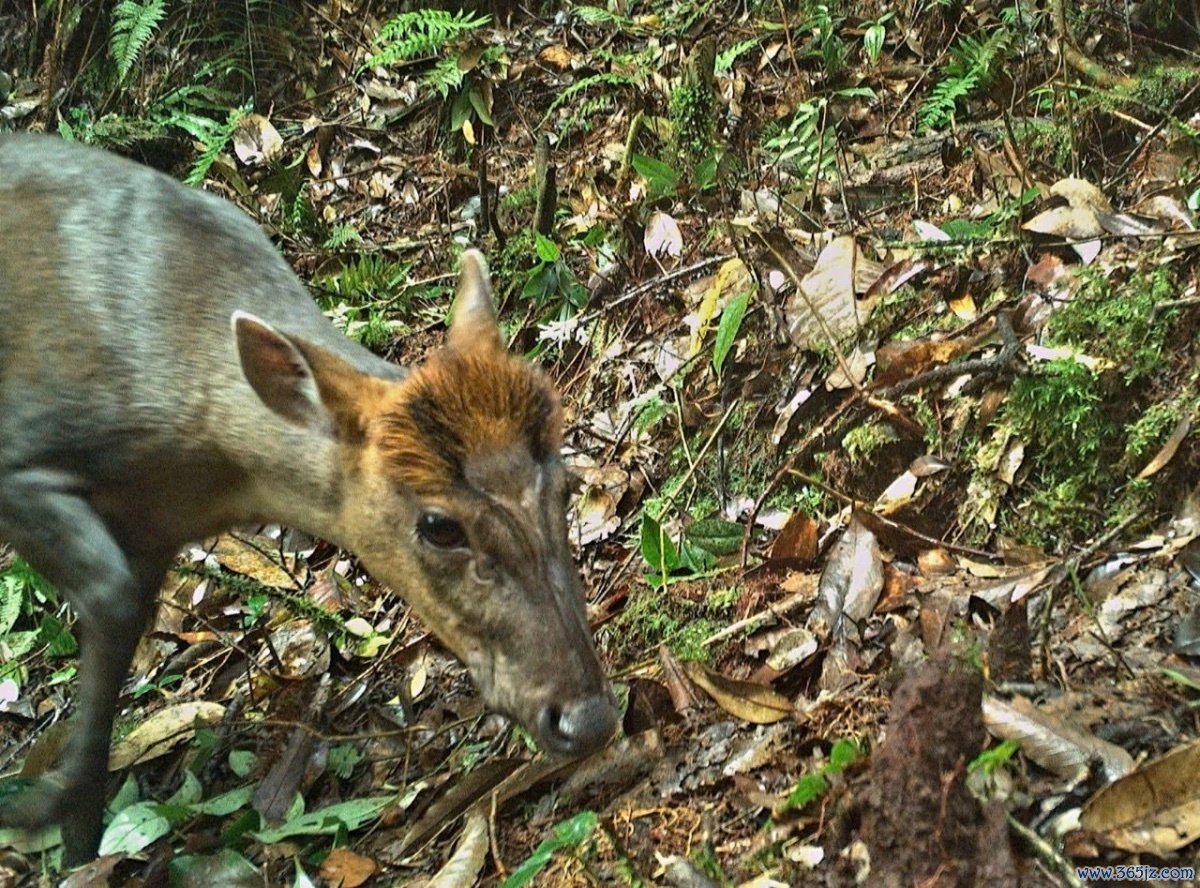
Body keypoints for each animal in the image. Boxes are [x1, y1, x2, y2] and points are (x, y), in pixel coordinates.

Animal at [0, 135, 619, 864]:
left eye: (567, 484)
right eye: (439, 526)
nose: (588, 719)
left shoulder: (154, 529)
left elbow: (119, 621)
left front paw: (76, 835)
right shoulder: (23, 447)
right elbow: (109, 596)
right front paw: (51, 818)